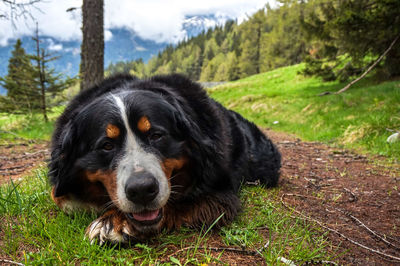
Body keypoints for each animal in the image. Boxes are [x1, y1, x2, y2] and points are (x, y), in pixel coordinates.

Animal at [49, 74, 282, 244]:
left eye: (156, 135)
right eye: (107, 145)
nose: (142, 190)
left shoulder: (220, 194)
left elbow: (179, 200)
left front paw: (113, 223)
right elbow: (60, 196)